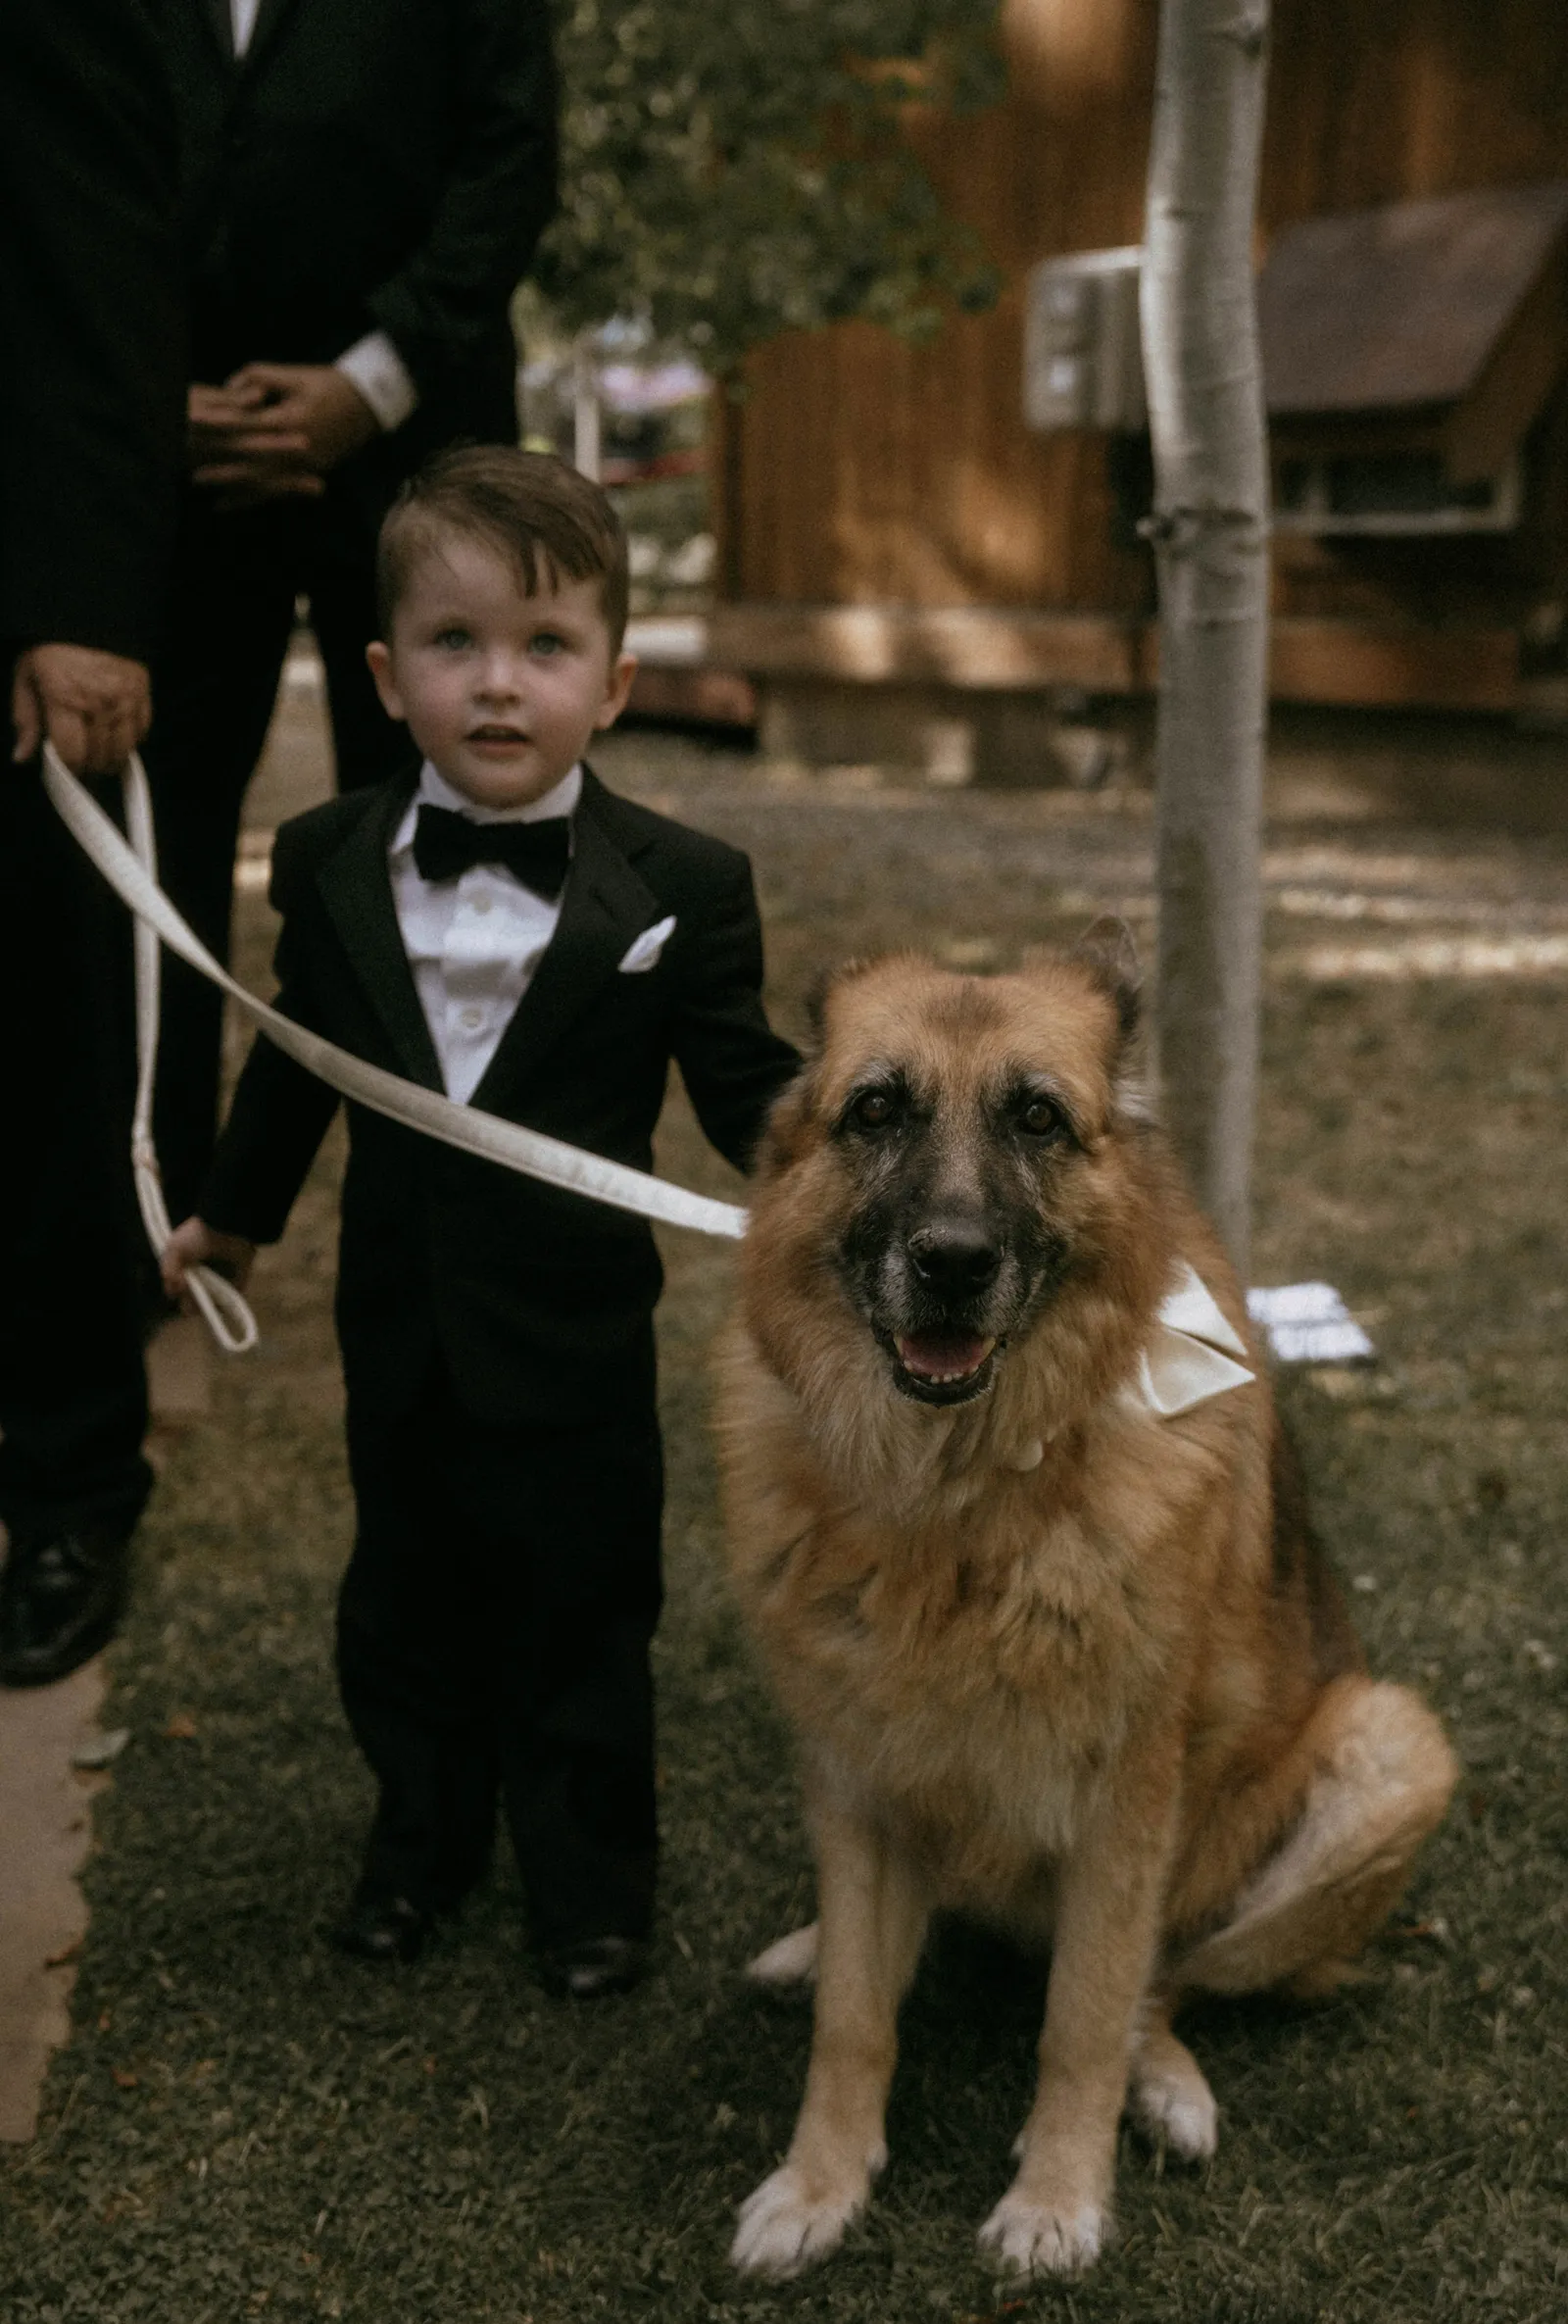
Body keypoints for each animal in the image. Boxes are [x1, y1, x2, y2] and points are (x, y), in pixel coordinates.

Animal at [714, 926, 1456, 2281]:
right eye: (877, 1110)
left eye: (1037, 1117)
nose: (952, 1265)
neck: (959, 1506)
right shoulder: (854, 1775)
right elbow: (855, 2015)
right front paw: (819, 2182)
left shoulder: (1124, 1803)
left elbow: (1086, 2013)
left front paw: (1057, 2196)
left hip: (1391, 1752)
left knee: (1166, 1981)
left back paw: (1165, 2086)